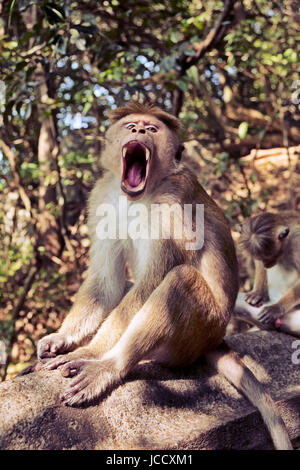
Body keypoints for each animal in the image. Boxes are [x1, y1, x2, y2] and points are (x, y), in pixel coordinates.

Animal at [22, 103, 292, 452]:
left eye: (152, 129)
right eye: (132, 126)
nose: (139, 131)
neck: (139, 194)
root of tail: (216, 338)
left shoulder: (174, 203)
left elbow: (152, 281)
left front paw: (86, 353)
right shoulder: (102, 197)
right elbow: (107, 282)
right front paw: (62, 339)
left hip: (195, 334)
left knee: (179, 280)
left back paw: (109, 367)